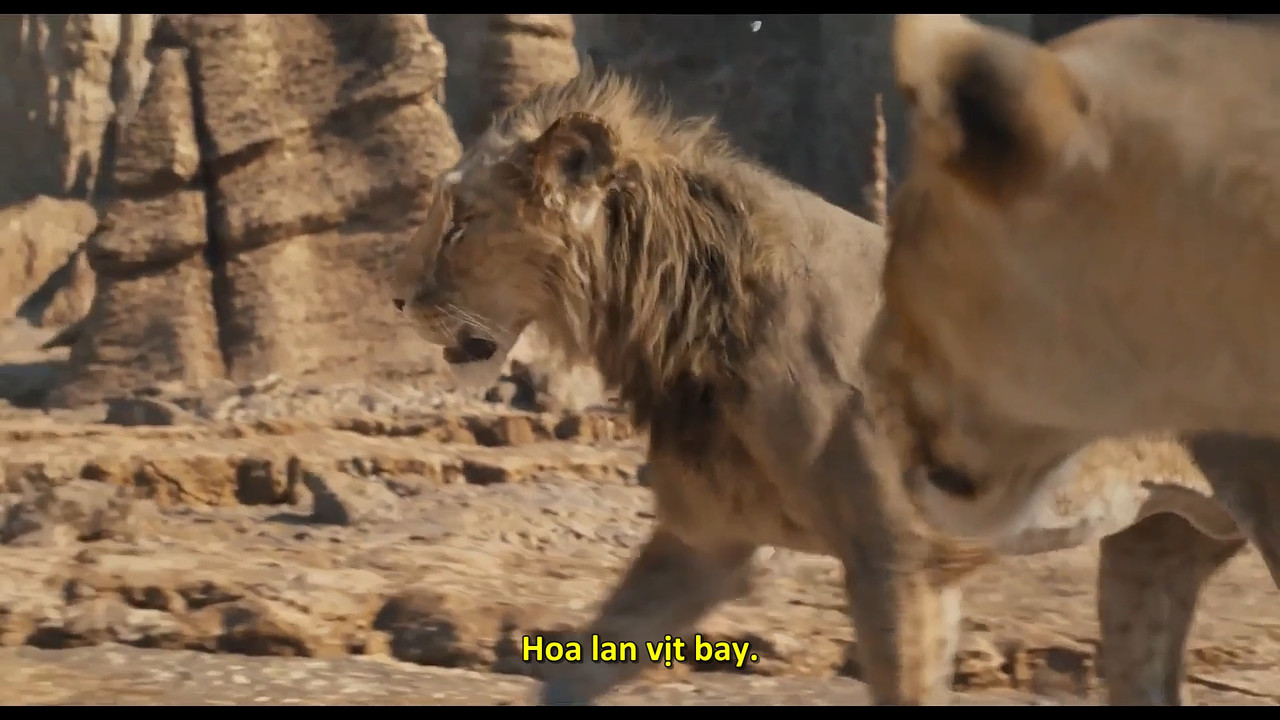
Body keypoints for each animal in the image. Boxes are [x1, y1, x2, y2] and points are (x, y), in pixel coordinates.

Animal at [387, 66, 1250, 705]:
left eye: (460, 220)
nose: (394, 299)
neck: (681, 312)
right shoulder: (705, 541)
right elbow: (582, 669)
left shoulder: (901, 559)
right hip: (1153, 553)